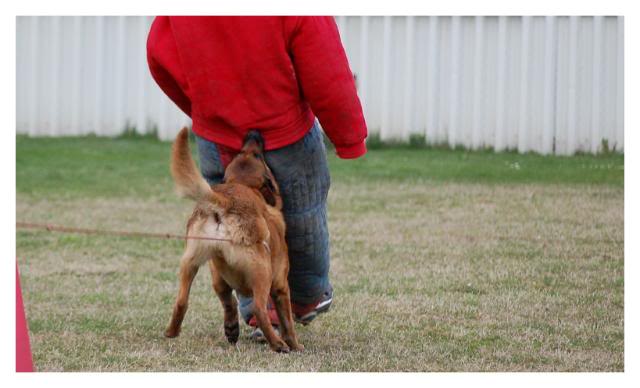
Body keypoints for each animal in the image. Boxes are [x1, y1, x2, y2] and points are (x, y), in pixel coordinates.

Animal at [165, 128, 304, 354]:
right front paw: (295, 344)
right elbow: (287, 322)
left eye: (243, 152)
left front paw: (231, 329)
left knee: (181, 300)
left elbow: (229, 302)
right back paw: (278, 344)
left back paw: (172, 331)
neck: (243, 184)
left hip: (190, 262)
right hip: (262, 270)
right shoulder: (281, 286)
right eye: (258, 156)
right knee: (259, 309)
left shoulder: (218, 278)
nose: (253, 133)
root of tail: (225, 200)